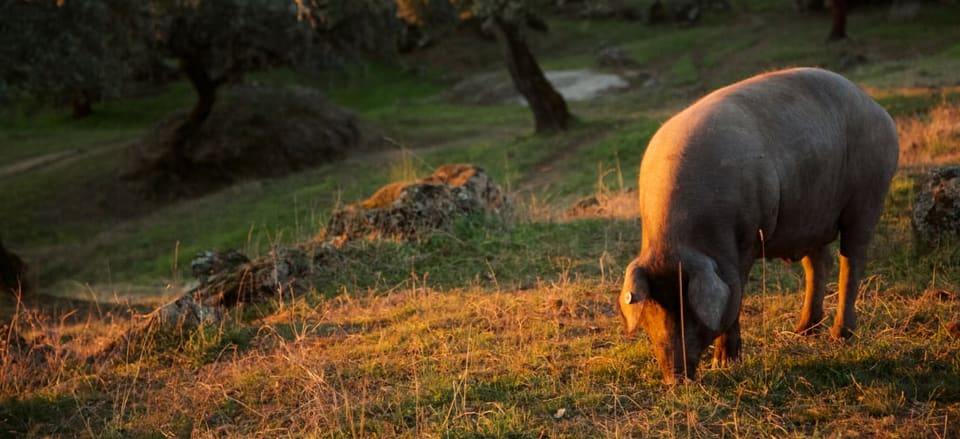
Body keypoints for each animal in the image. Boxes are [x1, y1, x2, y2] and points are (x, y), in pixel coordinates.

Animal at [617, 67, 898, 383]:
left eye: (688, 305)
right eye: (651, 309)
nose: (674, 378)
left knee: (853, 259)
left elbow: (737, 295)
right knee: (819, 264)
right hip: (810, 217)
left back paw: (839, 337)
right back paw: (803, 332)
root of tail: (878, 109)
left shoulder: (748, 240)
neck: (680, 239)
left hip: (868, 195)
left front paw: (723, 363)